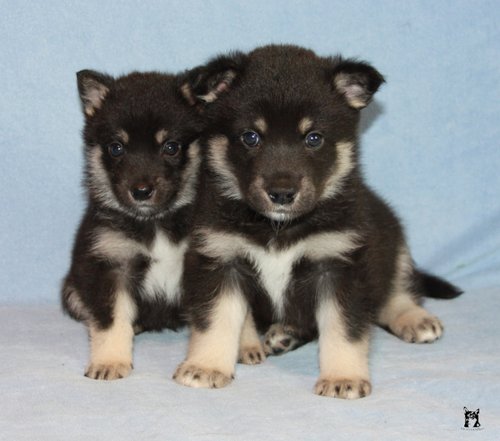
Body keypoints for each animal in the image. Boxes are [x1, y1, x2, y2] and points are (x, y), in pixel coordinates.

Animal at [62, 69, 203, 380]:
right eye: (116, 148)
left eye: (171, 147)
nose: (141, 191)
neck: (156, 222)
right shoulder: (107, 267)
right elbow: (111, 321)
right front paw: (110, 362)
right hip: (71, 292)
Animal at [172, 44, 462, 398]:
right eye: (250, 137)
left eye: (313, 138)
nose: (282, 193)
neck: (277, 228)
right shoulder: (221, 260)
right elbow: (216, 319)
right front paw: (206, 366)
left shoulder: (339, 265)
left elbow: (344, 329)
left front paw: (343, 377)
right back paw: (278, 336)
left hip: (392, 238)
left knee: (396, 289)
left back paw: (414, 318)